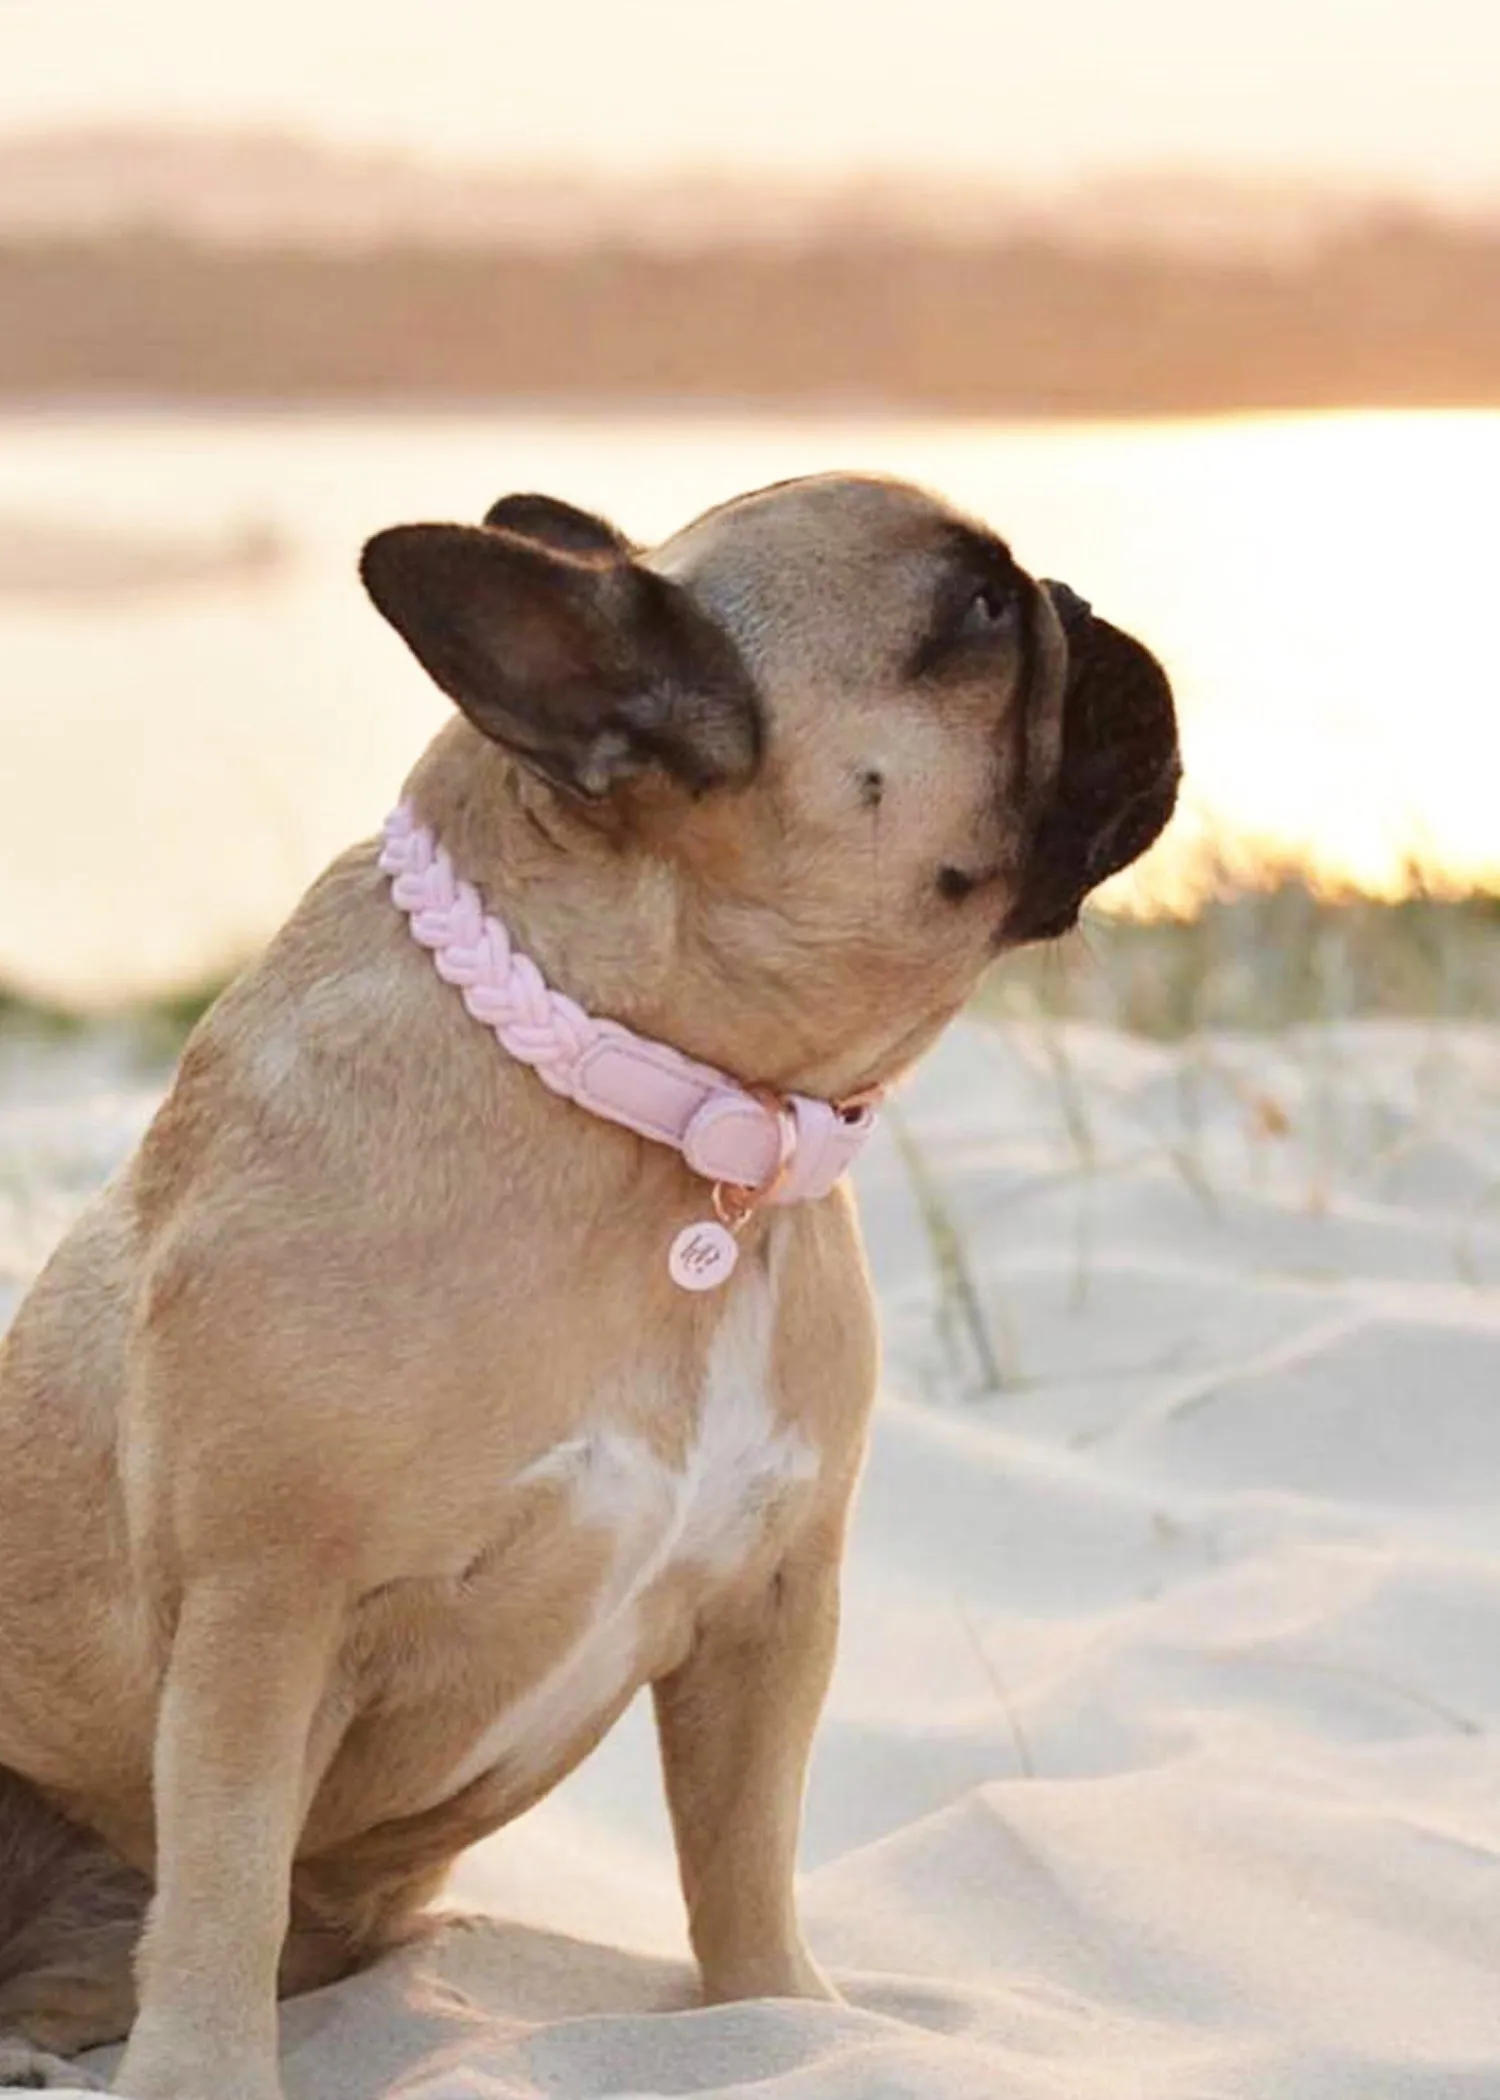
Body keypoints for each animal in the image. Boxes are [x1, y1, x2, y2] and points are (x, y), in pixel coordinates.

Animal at [0, 480, 1176, 2100]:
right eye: (980, 618)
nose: (1089, 604)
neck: (679, 1118)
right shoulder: (263, 1616)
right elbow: (224, 1890)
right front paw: (206, 2079)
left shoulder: (769, 1613)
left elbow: (743, 1864)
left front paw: (788, 2017)